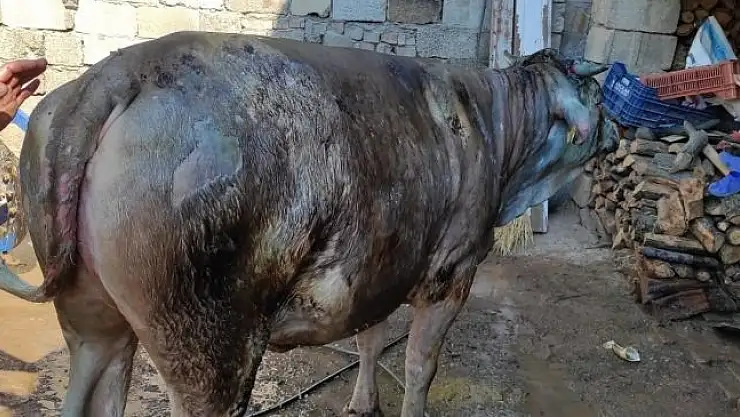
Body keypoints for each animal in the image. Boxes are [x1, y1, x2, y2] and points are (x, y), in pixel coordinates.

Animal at [0, 31, 616, 417]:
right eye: (596, 91)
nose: (614, 132)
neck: (498, 130)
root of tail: (113, 78)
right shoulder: (452, 270)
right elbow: (421, 366)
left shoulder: (382, 260)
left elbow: (370, 338)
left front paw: (362, 403)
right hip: (209, 346)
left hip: (91, 316)